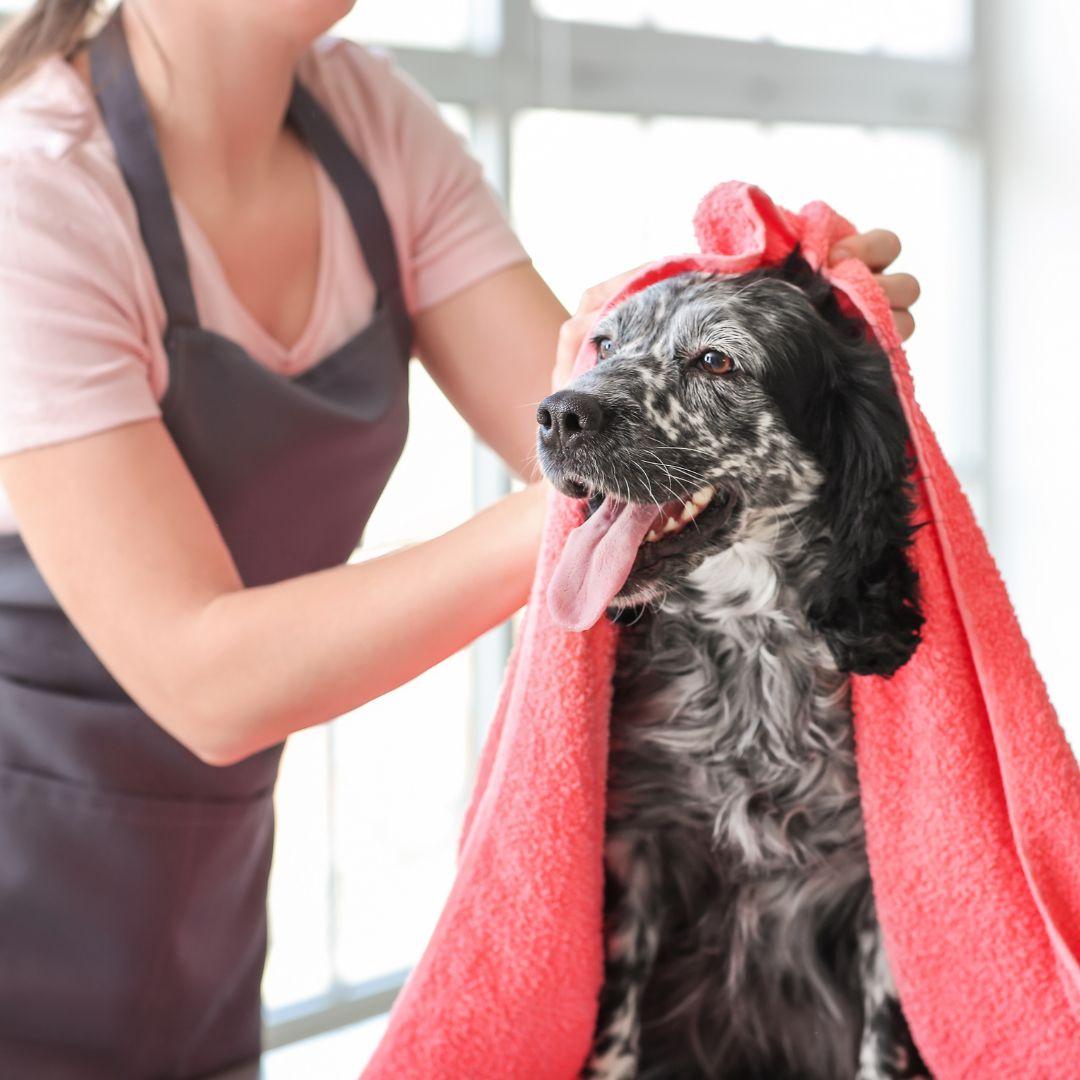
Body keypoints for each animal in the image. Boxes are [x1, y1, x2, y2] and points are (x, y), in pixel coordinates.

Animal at [535, 250, 933, 1080]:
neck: (752, 654)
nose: (556, 415)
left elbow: (882, 1037)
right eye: (603, 345)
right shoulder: (637, 851)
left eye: (716, 361)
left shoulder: (882, 894)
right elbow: (614, 1024)